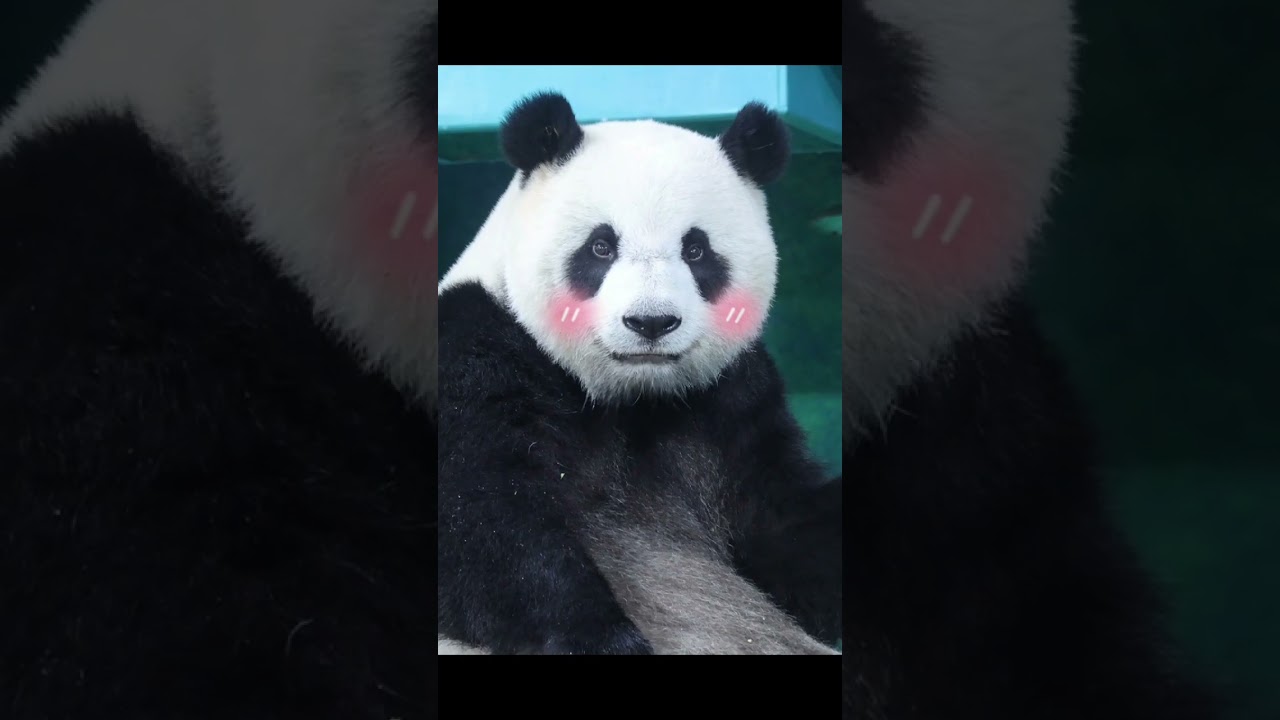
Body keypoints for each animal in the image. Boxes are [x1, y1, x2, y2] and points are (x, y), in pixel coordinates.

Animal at [436, 92, 843, 655]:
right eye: (601, 246)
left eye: (695, 249)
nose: (651, 322)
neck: (630, 396)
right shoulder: (478, 348)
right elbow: (482, 520)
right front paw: (606, 639)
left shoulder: (731, 396)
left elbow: (783, 515)